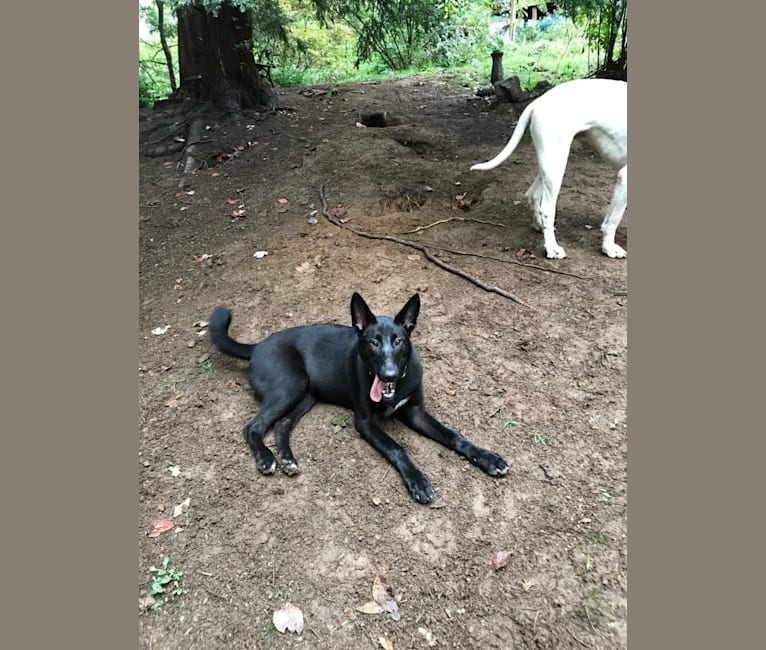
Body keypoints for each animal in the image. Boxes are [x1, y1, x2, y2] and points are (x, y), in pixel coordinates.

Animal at [210, 292, 510, 502]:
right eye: (373, 342)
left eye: (398, 341)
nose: (388, 375)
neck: (394, 389)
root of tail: (257, 346)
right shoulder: (365, 422)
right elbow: (397, 448)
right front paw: (417, 480)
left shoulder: (416, 412)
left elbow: (453, 435)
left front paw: (487, 458)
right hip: (289, 385)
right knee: (253, 426)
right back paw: (266, 459)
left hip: (306, 394)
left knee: (282, 424)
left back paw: (287, 459)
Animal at [474, 77, 632, 256]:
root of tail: (539, 101)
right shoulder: (626, 178)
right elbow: (615, 218)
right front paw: (609, 247)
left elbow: (609, 216)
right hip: (556, 165)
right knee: (547, 209)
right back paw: (551, 248)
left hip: (550, 163)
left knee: (533, 195)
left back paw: (539, 226)